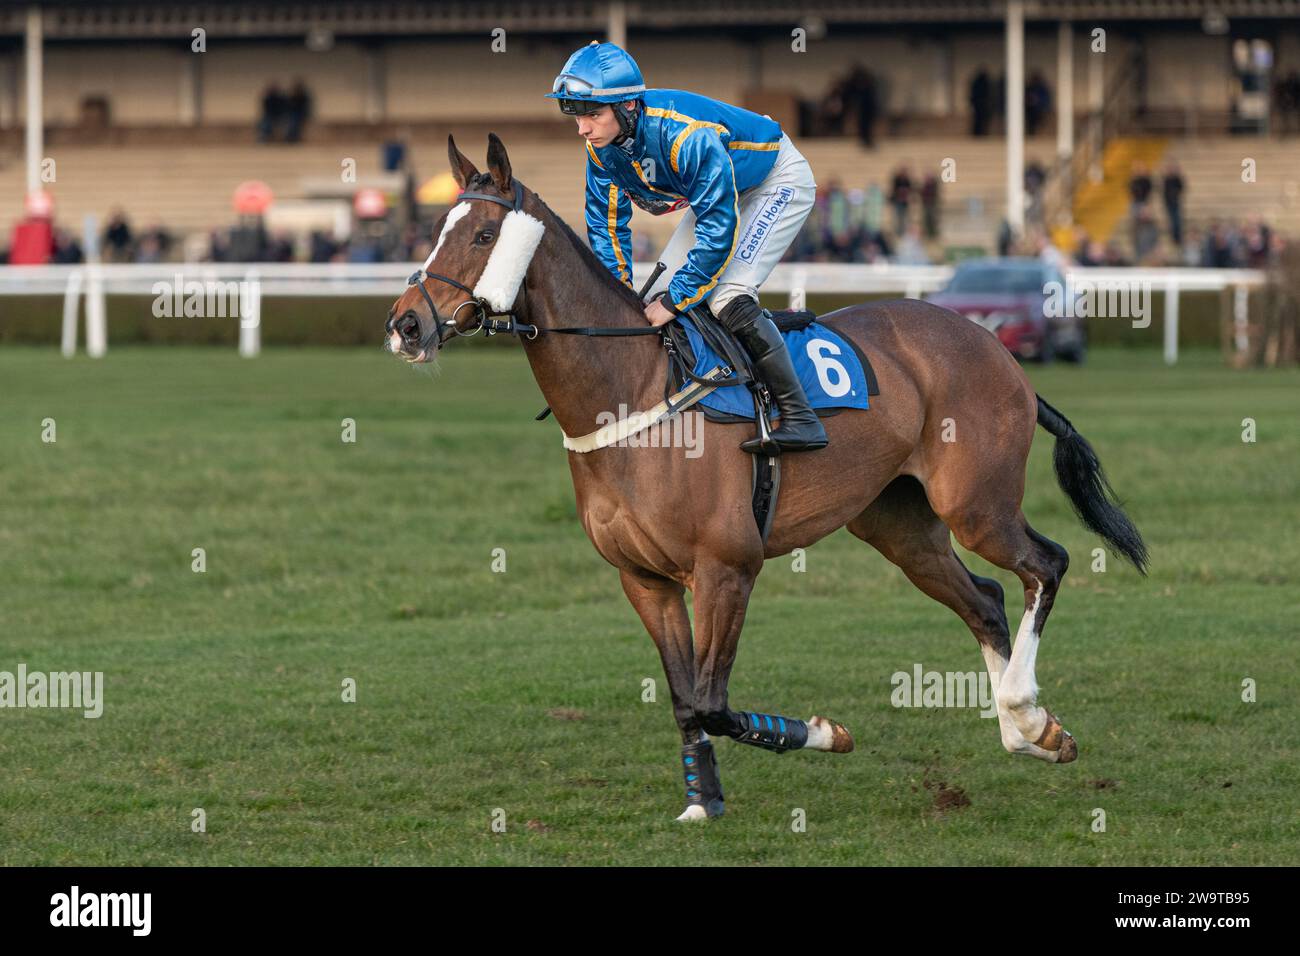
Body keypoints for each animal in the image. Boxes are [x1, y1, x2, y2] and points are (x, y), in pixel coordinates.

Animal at [384, 134, 1149, 822]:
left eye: (484, 233)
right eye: (436, 230)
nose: (405, 325)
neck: (630, 389)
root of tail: (996, 348)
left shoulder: (728, 566)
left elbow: (713, 702)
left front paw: (825, 734)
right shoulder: (646, 579)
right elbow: (683, 699)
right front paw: (703, 802)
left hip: (977, 505)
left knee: (1045, 565)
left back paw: (1026, 712)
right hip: (900, 525)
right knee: (985, 599)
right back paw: (1030, 733)